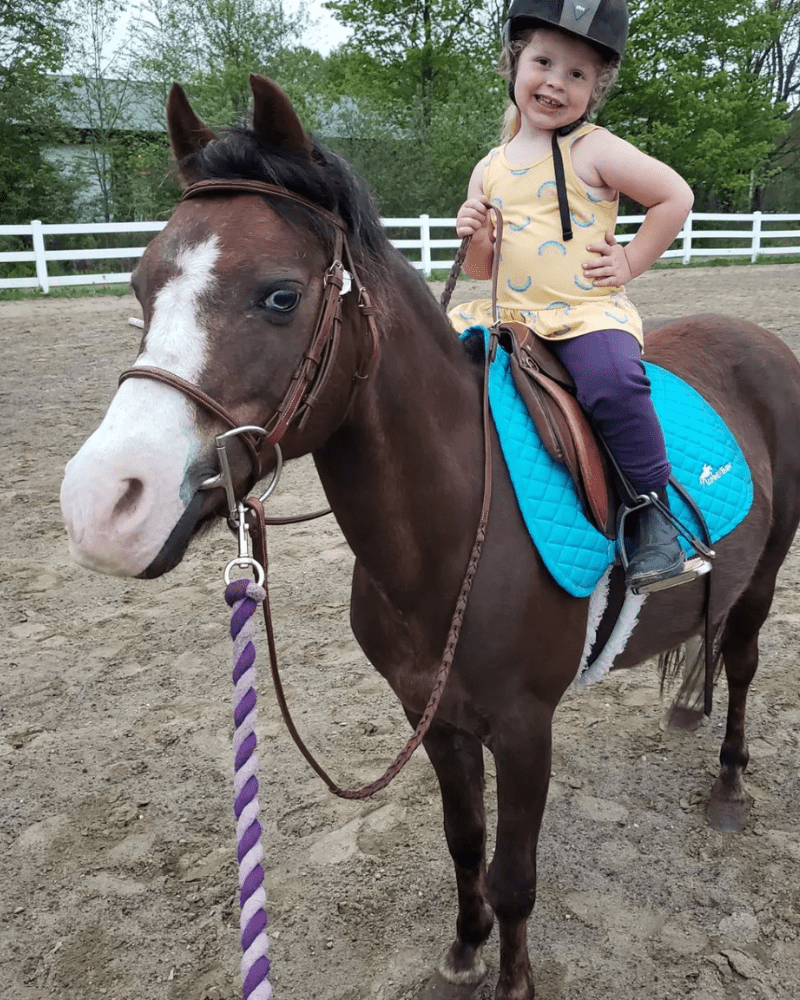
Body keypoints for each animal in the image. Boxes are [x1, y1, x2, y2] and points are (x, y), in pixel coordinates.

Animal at [59, 75, 800, 1000]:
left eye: (279, 294)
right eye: (140, 286)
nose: (102, 504)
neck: (451, 535)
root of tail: (757, 340)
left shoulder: (524, 729)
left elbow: (516, 875)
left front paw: (513, 980)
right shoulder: (434, 716)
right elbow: (464, 843)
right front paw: (464, 948)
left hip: (767, 575)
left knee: (742, 662)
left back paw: (730, 784)